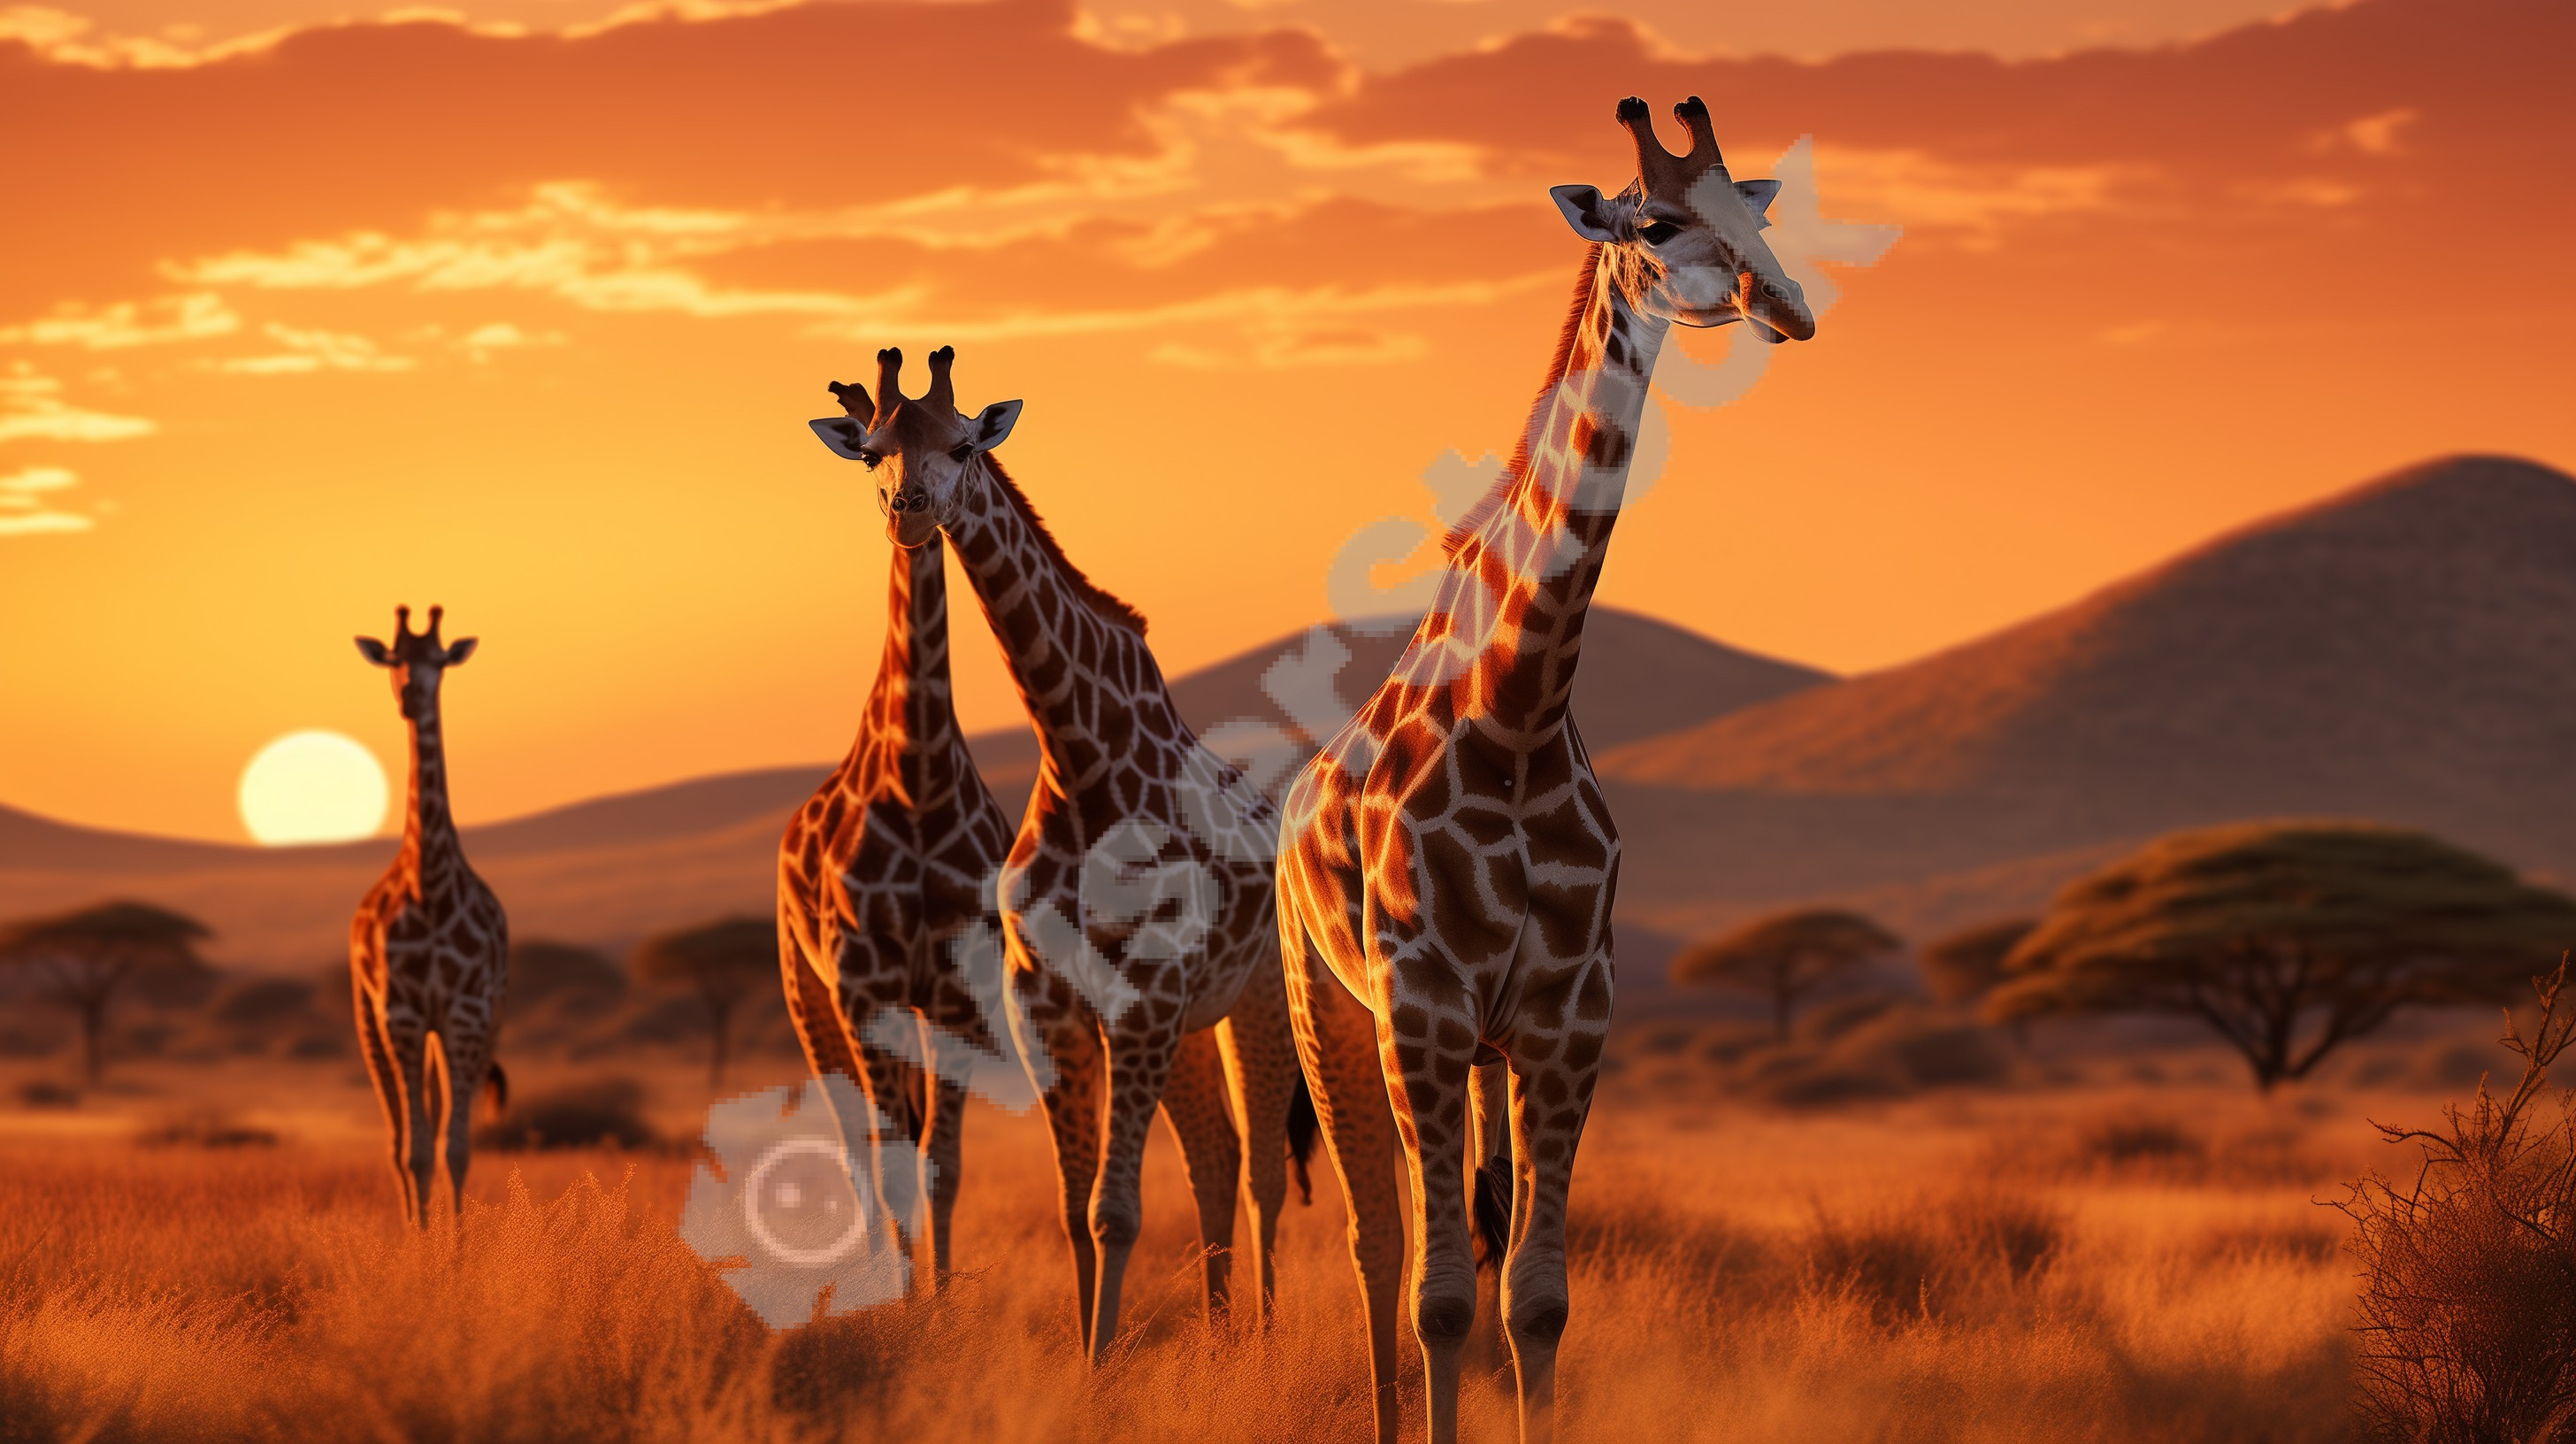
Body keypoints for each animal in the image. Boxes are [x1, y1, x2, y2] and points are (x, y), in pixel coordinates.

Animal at [350, 605, 511, 1229]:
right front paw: (422, 1250)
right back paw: (413, 1231)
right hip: (372, 1024)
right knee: (397, 1139)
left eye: (439, 661)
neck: (432, 879)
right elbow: (415, 1152)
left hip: (478, 1028)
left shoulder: (466, 1014)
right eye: (394, 660)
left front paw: (457, 1250)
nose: (410, 698)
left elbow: (457, 1151)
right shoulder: (403, 1015)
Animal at [776, 380, 1019, 1291]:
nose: (907, 512)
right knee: (855, 1147)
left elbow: (940, 1164)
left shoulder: (957, 991)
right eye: (873, 451)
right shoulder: (864, 986)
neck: (916, 779)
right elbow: (887, 1162)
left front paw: (941, 1304)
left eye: (962, 444)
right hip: (807, 996)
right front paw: (902, 1304)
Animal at [808, 345, 1308, 1361]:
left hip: (1257, 997)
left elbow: (1117, 1211)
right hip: (1188, 1024)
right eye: (874, 449)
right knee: (1216, 1155)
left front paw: (1104, 1365)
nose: (908, 508)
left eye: (963, 443)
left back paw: (1268, 1340)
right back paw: (1221, 1335)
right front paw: (1092, 1363)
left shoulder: (1144, 998)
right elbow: (1080, 1210)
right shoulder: (1047, 1002)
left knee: (1264, 1170)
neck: (1079, 754)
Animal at [1274, 96, 1816, 1444]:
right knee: (1375, 1249)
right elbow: (1439, 1298)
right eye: (1657, 221)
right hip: (1330, 1009)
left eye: (1752, 213)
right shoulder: (1422, 1011)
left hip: (1475, 1052)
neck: (1517, 713)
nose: (1786, 306)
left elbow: (1535, 1299)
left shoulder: (1569, 1021)